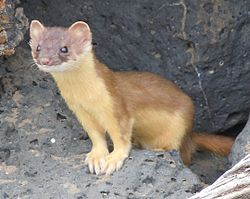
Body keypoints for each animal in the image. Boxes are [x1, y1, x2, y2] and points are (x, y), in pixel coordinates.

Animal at [29, 20, 234, 175]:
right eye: (38, 47)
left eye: (64, 48)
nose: (45, 60)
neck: (86, 97)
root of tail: (190, 135)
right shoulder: (80, 111)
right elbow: (96, 135)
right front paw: (96, 157)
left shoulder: (116, 105)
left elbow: (120, 136)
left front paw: (113, 159)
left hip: (181, 126)